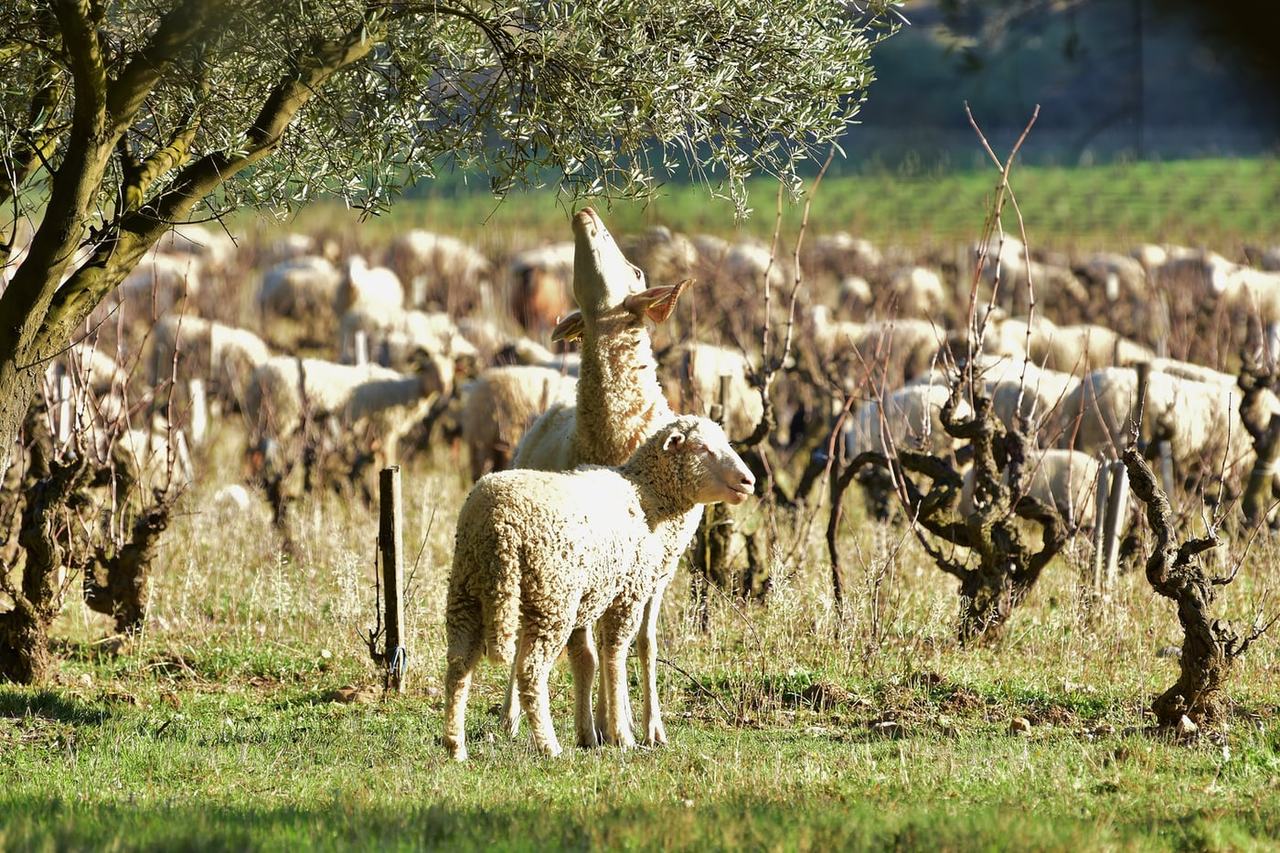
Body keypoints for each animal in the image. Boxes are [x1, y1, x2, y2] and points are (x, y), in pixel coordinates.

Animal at [443, 414, 754, 759]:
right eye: (702, 448)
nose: (748, 481)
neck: (647, 498)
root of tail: (499, 523)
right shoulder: (628, 594)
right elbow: (615, 655)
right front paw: (621, 734)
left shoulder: (590, 597)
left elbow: (587, 660)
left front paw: (589, 734)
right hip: (551, 598)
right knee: (530, 671)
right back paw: (548, 745)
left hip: (468, 590)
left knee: (458, 666)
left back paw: (455, 746)